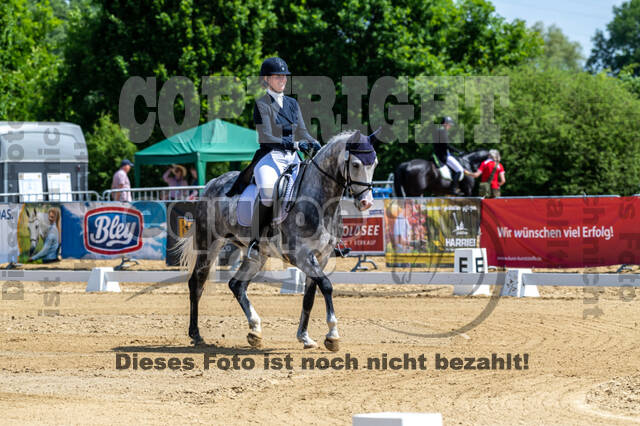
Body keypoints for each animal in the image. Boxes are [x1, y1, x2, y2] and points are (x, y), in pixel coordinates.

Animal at [176, 130, 378, 351]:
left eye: (374, 163)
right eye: (356, 164)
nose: (366, 203)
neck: (319, 202)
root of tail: (213, 183)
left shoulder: (322, 257)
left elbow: (309, 297)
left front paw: (304, 337)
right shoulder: (301, 256)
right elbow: (326, 285)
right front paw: (332, 335)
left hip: (257, 255)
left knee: (236, 285)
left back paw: (255, 330)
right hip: (209, 244)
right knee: (197, 282)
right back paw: (196, 334)